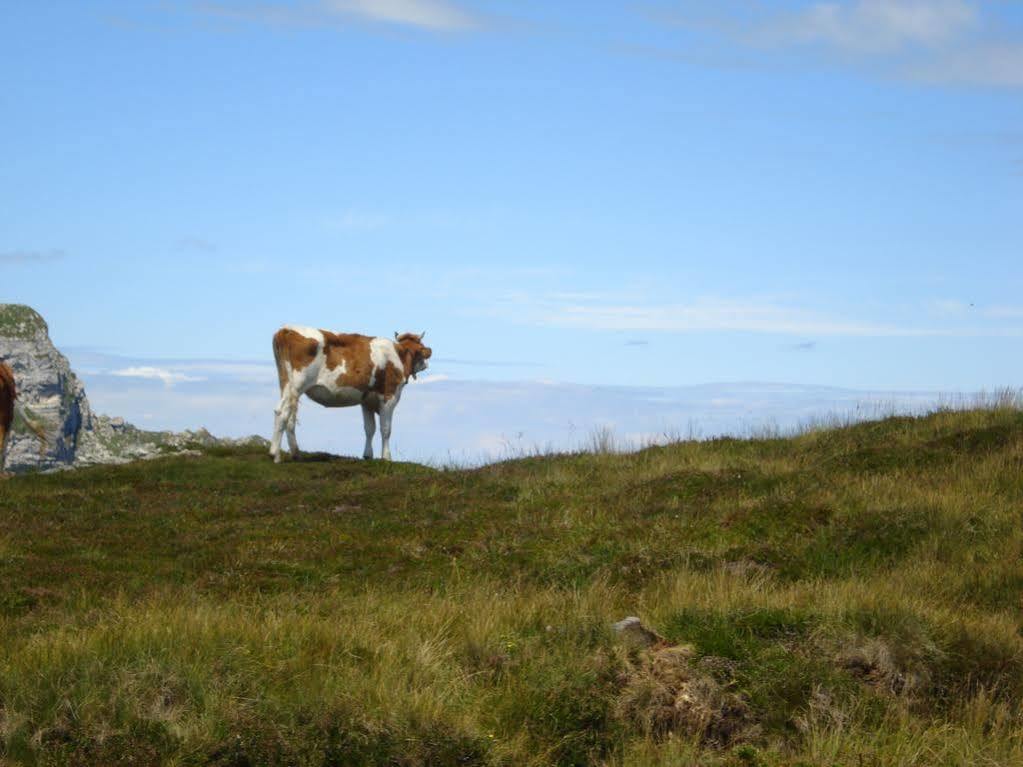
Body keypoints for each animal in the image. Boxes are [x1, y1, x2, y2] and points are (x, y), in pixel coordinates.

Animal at [268, 325, 431, 462]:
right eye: (421, 348)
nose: (426, 364)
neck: (399, 354)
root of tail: (287, 329)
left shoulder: (367, 401)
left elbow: (369, 429)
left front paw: (367, 455)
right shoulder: (389, 396)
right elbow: (385, 429)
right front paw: (386, 457)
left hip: (287, 385)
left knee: (288, 415)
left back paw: (295, 453)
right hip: (297, 384)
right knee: (282, 412)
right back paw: (275, 454)